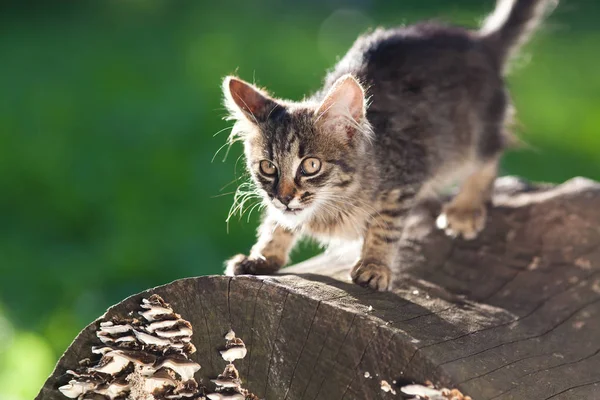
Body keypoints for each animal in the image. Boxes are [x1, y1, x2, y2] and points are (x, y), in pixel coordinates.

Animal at [223, 0, 556, 290]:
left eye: (311, 166)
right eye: (268, 167)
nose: (283, 197)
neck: (332, 204)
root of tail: (479, 41)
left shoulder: (406, 176)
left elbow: (386, 226)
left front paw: (375, 266)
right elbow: (276, 222)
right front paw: (263, 255)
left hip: (473, 137)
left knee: (490, 156)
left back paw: (466, 207)